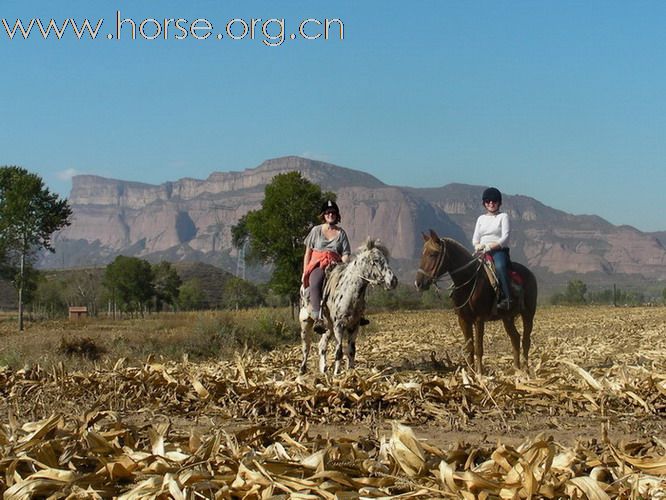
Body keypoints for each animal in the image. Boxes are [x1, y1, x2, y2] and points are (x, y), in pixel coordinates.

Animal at [300, 239, 394, 376]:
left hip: (328, 327)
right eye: (376, 260)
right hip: (305, 322)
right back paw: (302, 370)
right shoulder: (339, 326)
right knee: (306, 346)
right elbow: (339, 351)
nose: (393, 281)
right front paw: (337, 374)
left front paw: (351, 372)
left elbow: (351, 350)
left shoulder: (354, 326)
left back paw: (324, 370)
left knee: (322, 346)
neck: (349, 292)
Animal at [412, 229, 536, 374]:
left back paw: (526, 370)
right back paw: (516, 369)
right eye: (423, 253)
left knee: (526, 340)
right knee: (515, 338)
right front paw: (470, 373)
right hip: (507, 317)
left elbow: (478, 348)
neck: (468, 281)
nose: (418, 283)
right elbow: (469, 348)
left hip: (528, 314)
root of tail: (530, 274)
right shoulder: (463, 319)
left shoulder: (479, 319)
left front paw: (479, 373)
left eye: (433, 254)